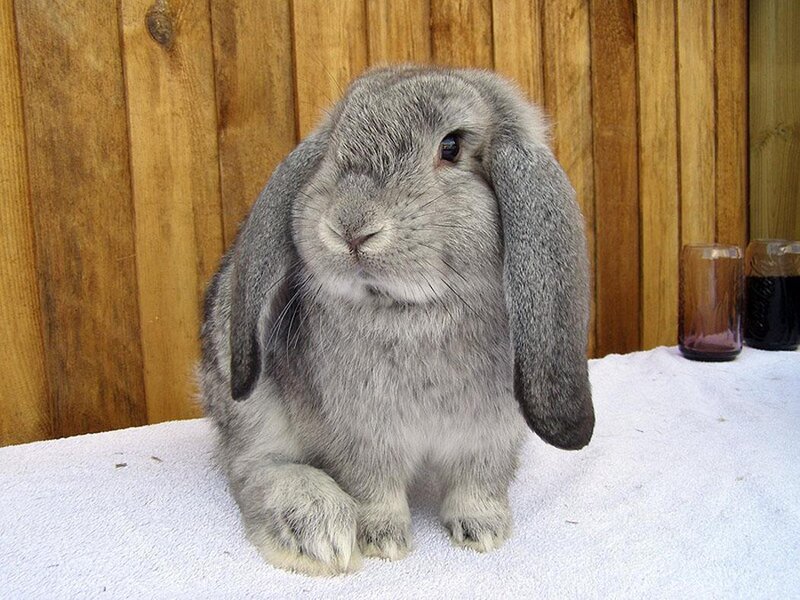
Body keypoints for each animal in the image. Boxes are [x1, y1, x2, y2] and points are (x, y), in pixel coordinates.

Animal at [198, 65, 594, 576]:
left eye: (451, 147)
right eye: (334, 146)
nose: (350, 228)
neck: (413, 310)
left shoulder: (489, 438)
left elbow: (477, 484)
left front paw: (483, 533)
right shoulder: (361, 437)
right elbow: (374, 489)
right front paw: (383, 541)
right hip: (248, 397)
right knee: (250, 465)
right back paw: (315, 530)